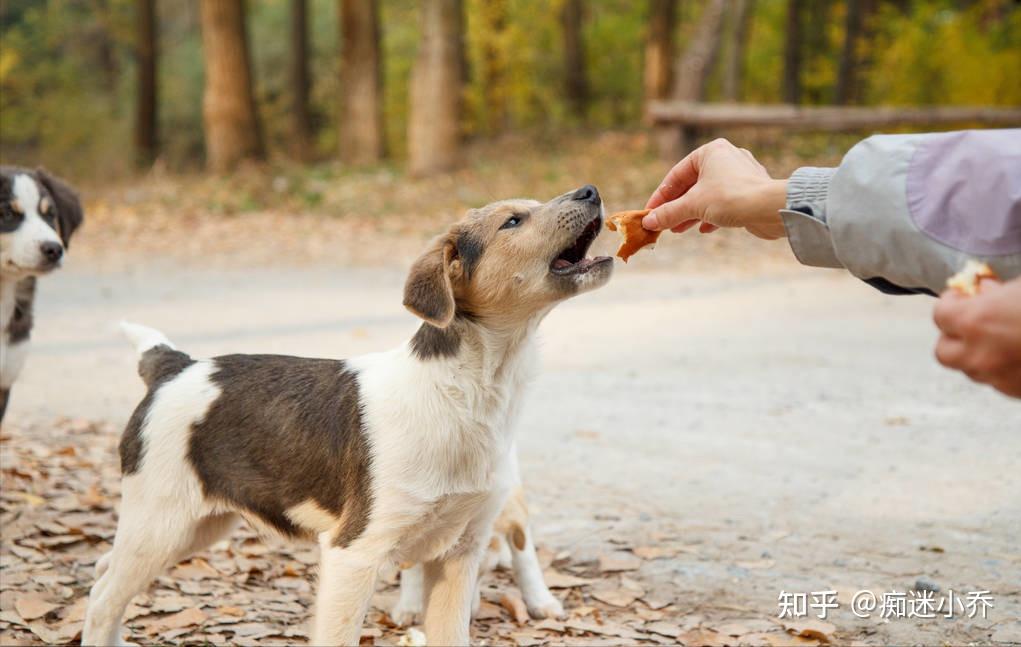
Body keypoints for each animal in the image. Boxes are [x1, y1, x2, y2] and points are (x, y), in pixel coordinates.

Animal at [83, 183, 608, 640]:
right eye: (513, 221)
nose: (591, 190)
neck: (465, 393)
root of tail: (174, 365)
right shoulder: (353, 553)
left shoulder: (459, 554)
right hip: (160, 522)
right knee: (103, 597)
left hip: (195, 527)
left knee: (104, 575)